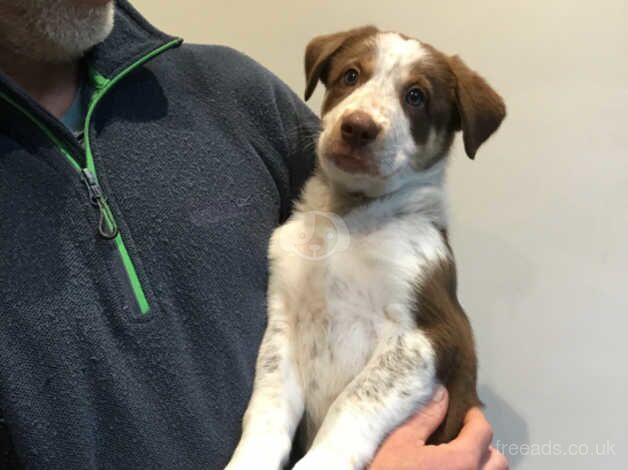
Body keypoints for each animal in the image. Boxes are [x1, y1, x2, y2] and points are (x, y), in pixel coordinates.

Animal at [226, 26, 506, 470]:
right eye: (351, 75)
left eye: (416, 96)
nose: (357, 128)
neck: (344, 217)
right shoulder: (283, 320)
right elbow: (266, 407)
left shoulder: (425, 337)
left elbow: (353, 402)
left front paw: (318, 463)